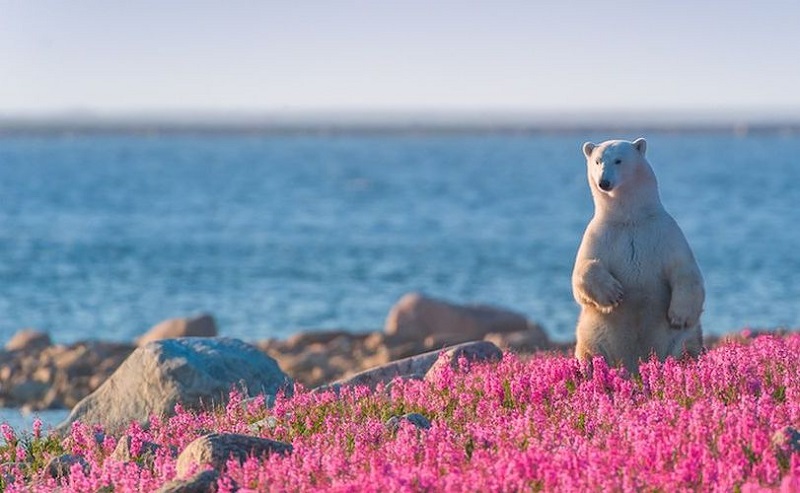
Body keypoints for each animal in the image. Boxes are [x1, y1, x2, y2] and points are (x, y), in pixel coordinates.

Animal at [572, 136, 704, 370]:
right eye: (597, 161)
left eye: (618, 160)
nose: (604, 182)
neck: (630, 217)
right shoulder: (600, 234)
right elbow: (582, 271)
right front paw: (613, 293)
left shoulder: (664, 232)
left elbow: (684, 270)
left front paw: (679, 316)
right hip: (593, 333)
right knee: (589, 352)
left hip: (677, 341)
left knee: (686, 347)